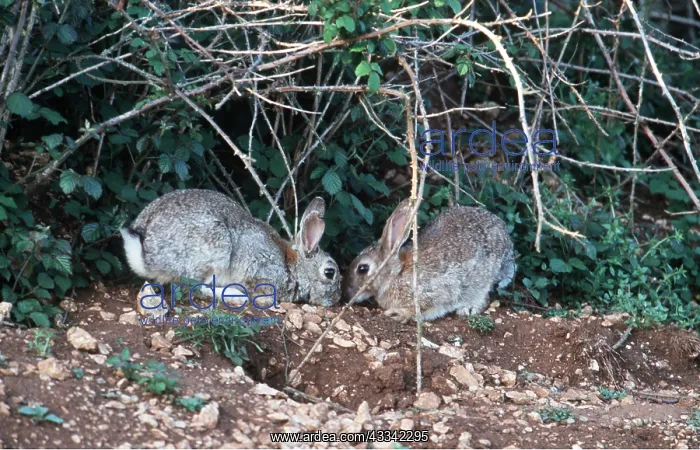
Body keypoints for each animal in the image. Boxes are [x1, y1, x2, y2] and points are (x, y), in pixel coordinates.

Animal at [120, 189, 341, 308]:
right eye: (329, 272)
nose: (337, 299)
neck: (294, 266)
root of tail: (145, 253)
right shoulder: (261, 271)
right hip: (214, 249)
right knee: (193, 288)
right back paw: (235, 295)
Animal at [343, 199, 516, 323]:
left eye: (363, 268)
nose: (347, 294)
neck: (397, 273)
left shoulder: (432, 292)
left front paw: (399, 314)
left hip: (481, 281)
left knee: (484, 297)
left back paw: (468, 308)